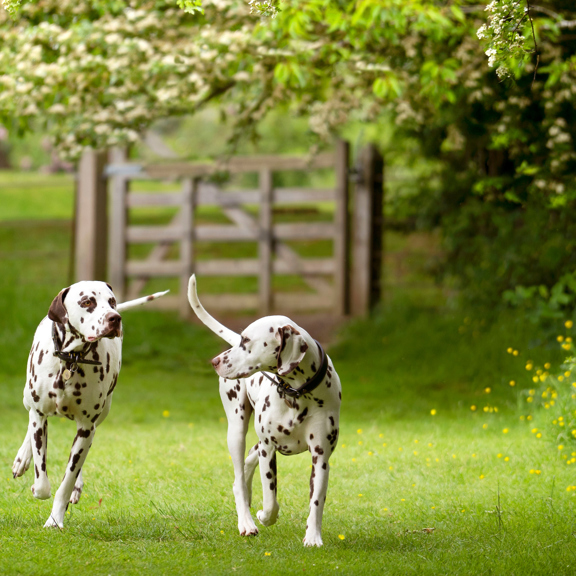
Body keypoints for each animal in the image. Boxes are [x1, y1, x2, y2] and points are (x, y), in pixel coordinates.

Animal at [11, 282, 166, 528]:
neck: (71, 359)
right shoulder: (39, 414)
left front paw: (55, 519)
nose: (115, 318)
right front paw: (36, 481)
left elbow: (66, 481)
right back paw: (22, 459)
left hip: (99, 417)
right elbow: (42, 481)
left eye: (112, 301)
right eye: (87, 302)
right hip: (29, 399)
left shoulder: (86, 428)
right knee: (31, 426)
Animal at [188, 276, 342, 548]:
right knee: (239, 480)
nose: (215, 362)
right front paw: (263, 516)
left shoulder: (321, 456)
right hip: (236, 432)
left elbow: (316, 501)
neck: (297, 394)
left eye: (246, 341)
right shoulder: (269, 448)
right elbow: (270, 501)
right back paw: (247, 522)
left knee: (249, 461)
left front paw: (313, 536)